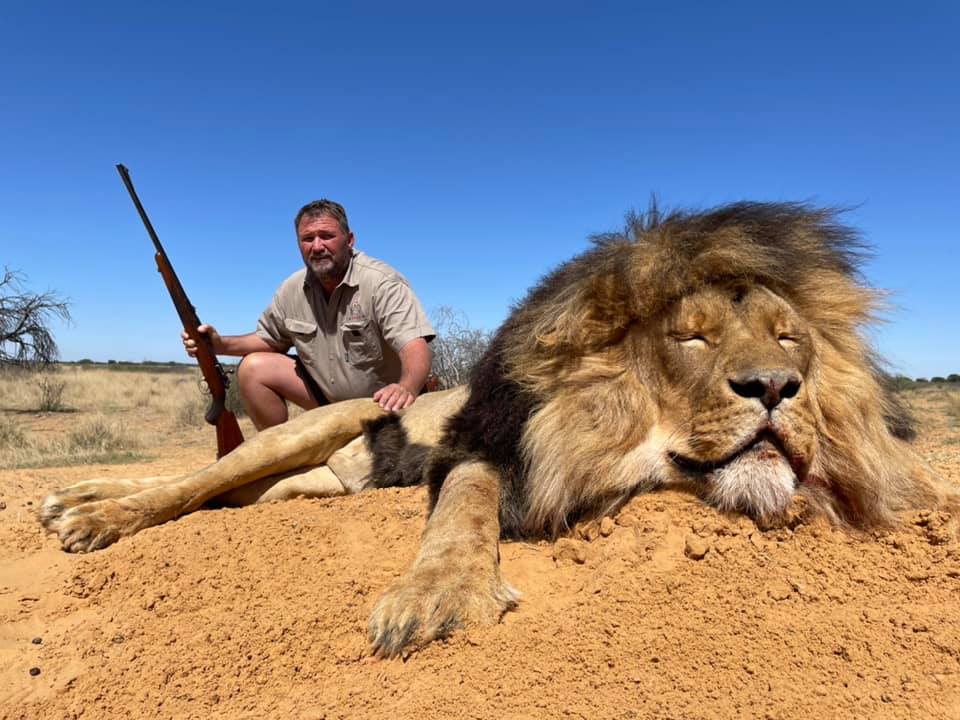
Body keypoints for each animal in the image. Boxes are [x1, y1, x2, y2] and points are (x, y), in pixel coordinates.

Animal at [41, 201, 956, 659]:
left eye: (789, 336)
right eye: (690, 337)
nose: (776, 388)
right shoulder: (478, 450)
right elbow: (461, 514)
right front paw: (435, 597)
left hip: (301, 483)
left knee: (223, 498)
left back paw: (76, 499)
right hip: (302, 430)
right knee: (193, 482)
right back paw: (87, 514)